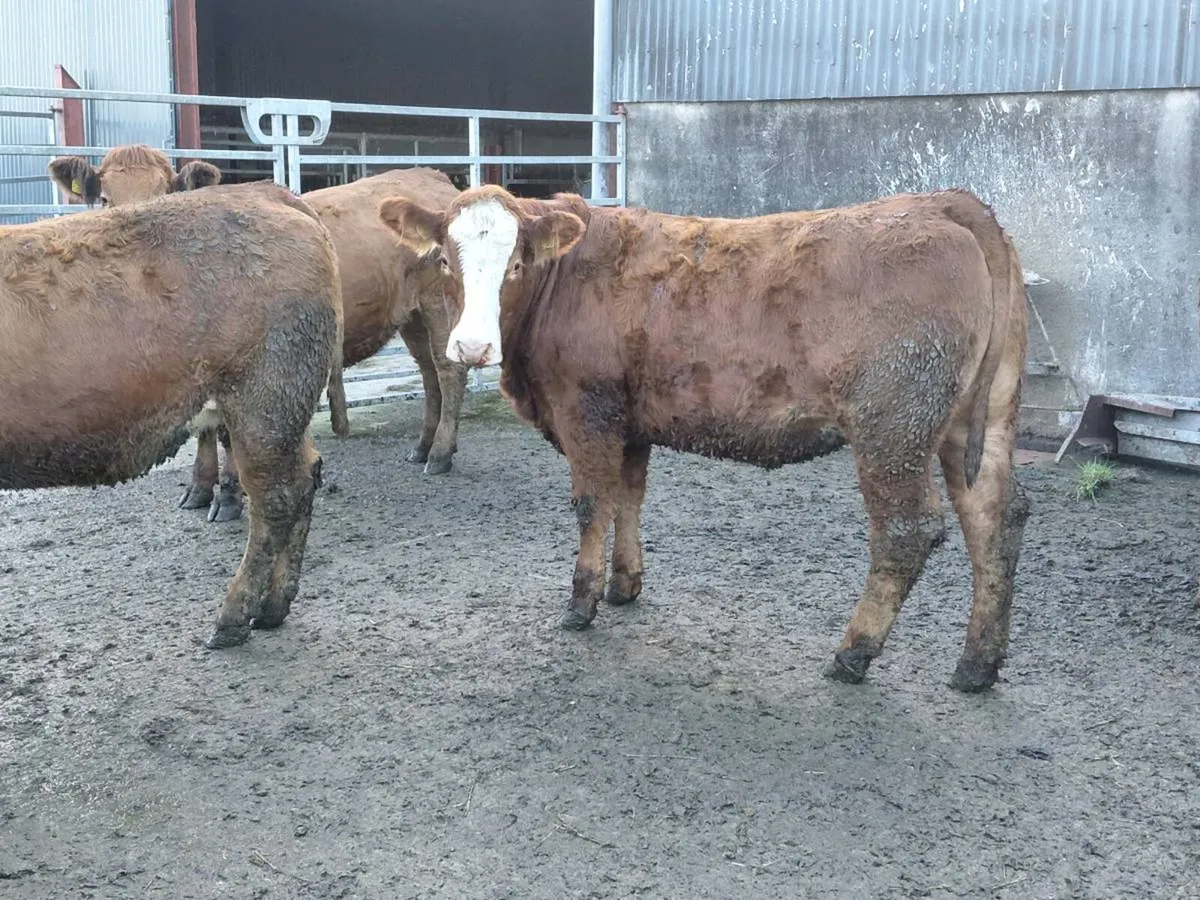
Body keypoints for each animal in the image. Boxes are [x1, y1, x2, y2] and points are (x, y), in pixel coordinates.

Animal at [1, 183, 343, 649]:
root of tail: (267, 191)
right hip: (280, 408)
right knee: (306, 475)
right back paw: (272, 607)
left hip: (264, 400)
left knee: (276, 498)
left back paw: (232, 617)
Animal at [49, 148, 465, 522]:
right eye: (105, 199)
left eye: (166, 193)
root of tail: (432, 176)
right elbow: (205, 429)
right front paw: (199, 488)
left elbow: (225, 432)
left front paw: (229, 496)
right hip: (411, 316)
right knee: (428, 372)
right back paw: (423, 446)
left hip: (439, 305)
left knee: (448, 371)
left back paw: (441, 453)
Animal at [378, 184, 1031, 693]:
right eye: (445, 261)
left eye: (515, 265)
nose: (470, 347)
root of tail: (945, 203)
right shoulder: (630, 420)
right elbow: (628, 497)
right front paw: (624, 586)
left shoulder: (585, 410)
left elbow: (592, 504)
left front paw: (582, 604)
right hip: (980, 418)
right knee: (996, 519)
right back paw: (978, 665)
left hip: (892, 425)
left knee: (906, 531)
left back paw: (854, 652)